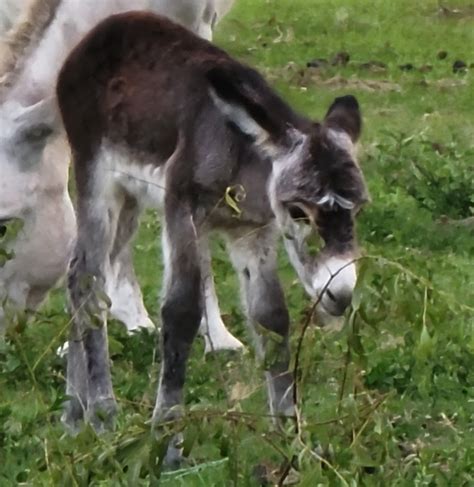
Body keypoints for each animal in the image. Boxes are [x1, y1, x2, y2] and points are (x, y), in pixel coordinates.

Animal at [54, 10, 366, 462]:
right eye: (298, 211)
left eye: (358, 209)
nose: (340, 293)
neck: (246, 164)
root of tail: (106, 30)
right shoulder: (182, 209)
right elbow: (181, 312)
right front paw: (166, 444)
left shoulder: (253, 234)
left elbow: (272, 318)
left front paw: (290, 438)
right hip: (96, 177)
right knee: (89, 282)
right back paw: (103, 415)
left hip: (131, 196)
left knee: (77, 275)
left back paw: (74, 417)